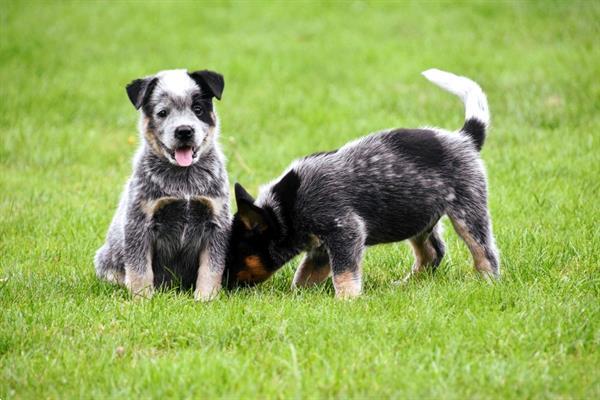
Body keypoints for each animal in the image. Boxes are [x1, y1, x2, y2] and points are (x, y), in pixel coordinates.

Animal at [95, 68, 231, 300]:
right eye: (162, 113)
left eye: (197, 109)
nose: (184, 130)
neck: (184, 182)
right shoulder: (139, 222)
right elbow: (139, 269)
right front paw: (142, 299)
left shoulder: (216, 221)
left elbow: (211, 268)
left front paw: (205, 298)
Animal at [223, 70, 500, 298]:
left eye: (233, 254)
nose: (222, 289)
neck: (286, 208)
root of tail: (465, 138)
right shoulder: (321, 248)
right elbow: (303, 277)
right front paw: (300, 297)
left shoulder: (345, 230)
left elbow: (343, 274)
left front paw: (346, 301)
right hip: (419, 216)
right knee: (433, 253)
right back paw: (407, 284)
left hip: (468, 211)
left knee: (485, 252)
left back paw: (487, 281)